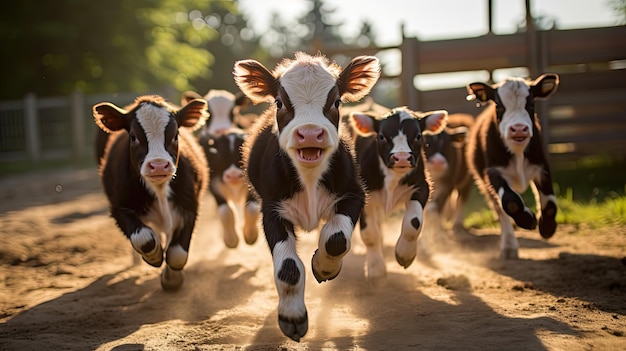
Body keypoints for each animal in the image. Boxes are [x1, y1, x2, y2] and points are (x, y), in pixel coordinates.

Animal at [92, 95, 208, 290]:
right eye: (133, 137)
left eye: (175, 135)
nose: (159, 165)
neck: (159, 190)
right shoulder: (118, 207)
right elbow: (144, 238)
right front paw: (153, 256)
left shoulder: (190, 206)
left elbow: (177, 253)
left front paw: (172, 278)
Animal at [234, 52, 380, 340]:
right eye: (280, 102)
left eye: (336, 101)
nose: (310, 133)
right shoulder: (272, 210)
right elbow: (288, 269)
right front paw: (292, 316)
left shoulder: (354, 194)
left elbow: (336, 240)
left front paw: (324, 267)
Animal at [348, 107, 446, 284]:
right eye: (381, 136)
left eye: (418, 135)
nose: (401, 158)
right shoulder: (365, 195)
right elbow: (370, 233)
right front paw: (376, 268)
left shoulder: (421, 187)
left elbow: (413, 223)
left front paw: (405, 254)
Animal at [466, 74, 560, 260]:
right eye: (499, 105)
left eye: (530, 104)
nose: (518, 129)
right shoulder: (492, 172)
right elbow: (510, 202)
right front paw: (528, 219)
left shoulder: (541, 166)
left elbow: (550, 204)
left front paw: (547, 228)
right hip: (484, 185)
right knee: (501, 212)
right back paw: (509, 247)